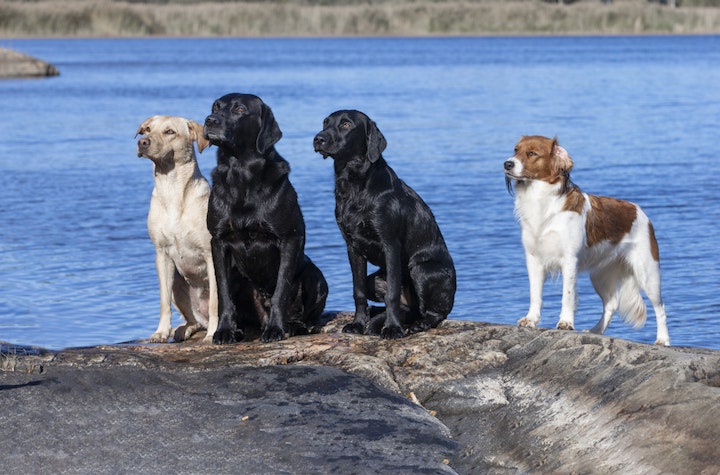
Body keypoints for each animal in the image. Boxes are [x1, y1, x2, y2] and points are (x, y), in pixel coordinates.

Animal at [135, 117, 218, 344]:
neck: (171, 188)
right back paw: (184, 329)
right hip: (178, 286)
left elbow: (216, 301)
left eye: (170, 131)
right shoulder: (162, 254)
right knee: (193, 319)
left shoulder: (211, 253)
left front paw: (214, 334)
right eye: (147, 129)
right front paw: (161, 332)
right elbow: (163, 301)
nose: (142, 142)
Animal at [506, 136, 668, 348]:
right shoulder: (533, 259)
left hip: (646, 273)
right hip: (599, 275)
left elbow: (567, 295)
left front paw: (565, 323)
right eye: (515, 150)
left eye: (532, 153)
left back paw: (663, 339)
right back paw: (596, 331)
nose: (507, 164)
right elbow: (535, 294)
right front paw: (531, 319)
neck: (543, 202)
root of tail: (640, 211)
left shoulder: (569, 260)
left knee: (660, 306)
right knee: (612, 304)